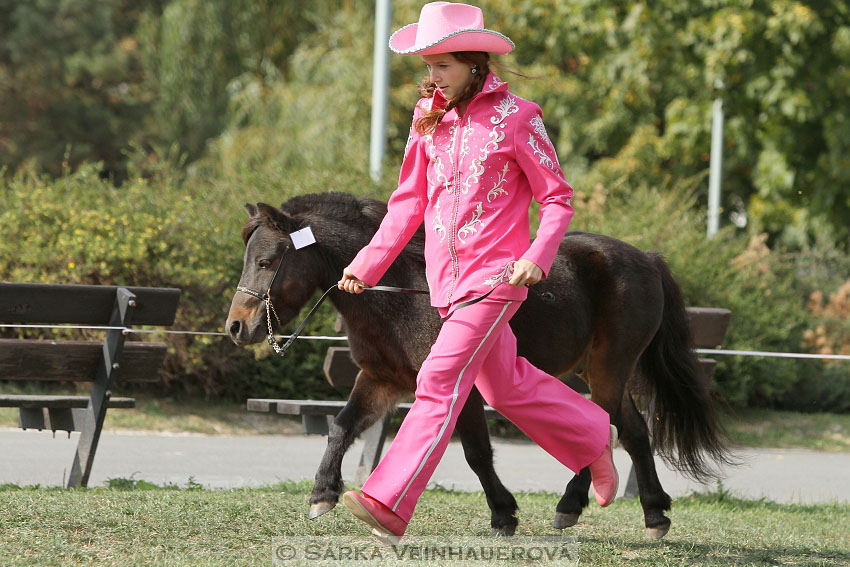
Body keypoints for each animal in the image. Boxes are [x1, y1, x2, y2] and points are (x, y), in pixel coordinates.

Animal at [227, 193, 728, 540]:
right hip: (594, 372)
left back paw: (590, 505)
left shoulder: (458, 385)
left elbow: (475, 453)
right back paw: (641, 511)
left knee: (608, 427)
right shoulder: (381, 380)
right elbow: (341, 427)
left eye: (266, 262)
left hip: (609, 370)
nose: (236, 327)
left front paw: (503, 513)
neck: (400, 292)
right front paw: (323, 494)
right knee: (628, 431)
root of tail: (647, 259)